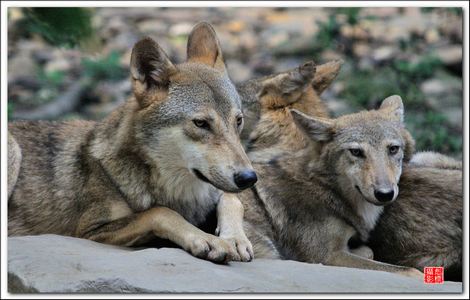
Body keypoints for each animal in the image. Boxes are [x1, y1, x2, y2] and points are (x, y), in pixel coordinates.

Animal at [8, 22, 258, 262]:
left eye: (238, 121)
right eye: (201, 123)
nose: (249, 178)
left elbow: (232, 200)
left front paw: (235, 238)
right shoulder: (90, 230)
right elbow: (160, 212)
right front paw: (207, 240)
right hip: (14, 151)